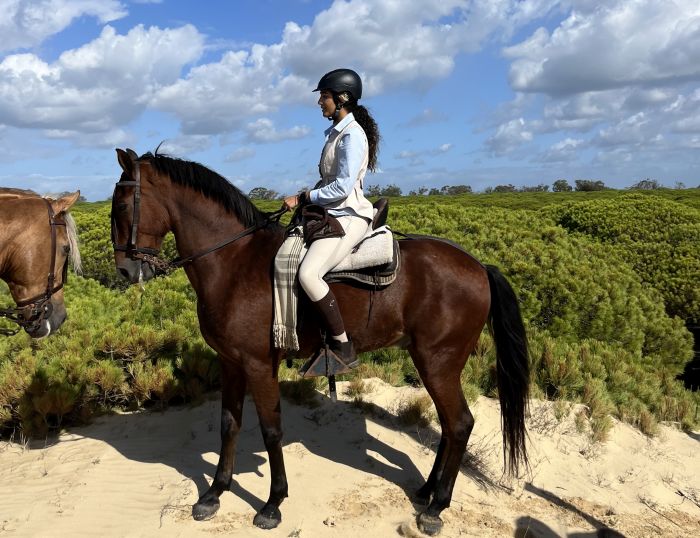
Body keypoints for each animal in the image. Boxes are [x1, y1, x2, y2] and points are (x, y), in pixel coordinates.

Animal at [110, 148, 524, 536]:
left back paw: (437, 507)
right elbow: (229, 424)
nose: (126, 271)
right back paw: (425, 492)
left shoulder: (259, 365)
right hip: (429, 362)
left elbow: (271, 429)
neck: (234, 263)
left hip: (439, 363)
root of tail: (478, 266)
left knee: (460, 424)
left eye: (121, 206)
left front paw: (272, 503)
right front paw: (214, 494)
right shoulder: (230, 363)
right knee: (449, 425)